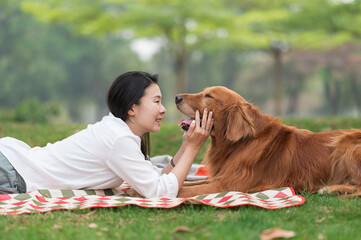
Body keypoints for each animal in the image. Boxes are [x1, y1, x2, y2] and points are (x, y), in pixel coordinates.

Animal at [174, 86, 360, 197]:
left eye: (208, 96)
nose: (176, 97)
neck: (239, 144)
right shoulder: (220, 178)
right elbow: (188, 183)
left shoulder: (229, 185)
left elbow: (183, 190)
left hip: (345, 144)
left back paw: (331, 188)